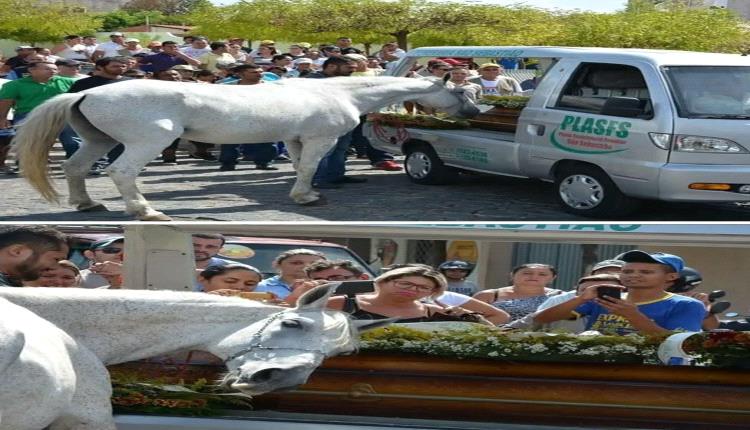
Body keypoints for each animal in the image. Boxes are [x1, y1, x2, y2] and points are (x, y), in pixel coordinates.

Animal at [14, 75, 478, 220]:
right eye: (460, 91)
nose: (474, 111)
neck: (338, 92)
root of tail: (84, 91)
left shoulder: (295, 139)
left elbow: (300, 167)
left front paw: (304, 194)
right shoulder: (319, 140)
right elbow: (309, 167)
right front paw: (308, 197)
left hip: (98, 140)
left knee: (75, 169)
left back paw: (86, 204)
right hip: (144, 143)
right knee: (121, 173)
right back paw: (146, 211)